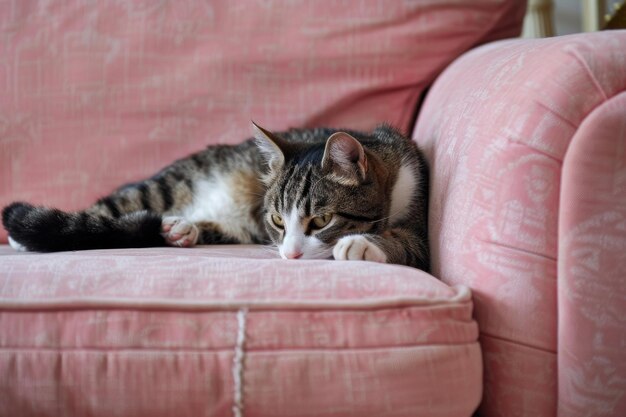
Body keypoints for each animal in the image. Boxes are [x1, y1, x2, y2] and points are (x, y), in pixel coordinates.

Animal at [0, 122, 426, 268]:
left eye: (320, 220)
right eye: (278, 219)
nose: (289, 254)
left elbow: (411, 243)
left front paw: (364, 243)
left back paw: (180, 230)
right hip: (165, 184)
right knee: (110, 207)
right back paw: (22, 240)